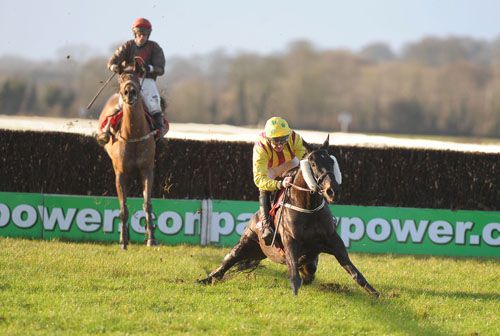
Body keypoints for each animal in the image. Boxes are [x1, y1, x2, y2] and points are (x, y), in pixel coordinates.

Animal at [99, 68, 156, 248]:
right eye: (122, 78)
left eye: (137, 79)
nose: (129, 91)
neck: (133, 134)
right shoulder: (121, 174)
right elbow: (123, 208)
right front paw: (123, 241)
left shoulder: (147, 170)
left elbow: (147, 205)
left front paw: (151, 239)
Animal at [199, 136, 378, 296]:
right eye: (313, 163)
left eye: (331, 162)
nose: (332, 191)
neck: (309, 209)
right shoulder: (290, 241)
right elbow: (294, 267)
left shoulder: (333, 241)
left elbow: (353, 270)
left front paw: (375, 293)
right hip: (247, 242)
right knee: (228, 260)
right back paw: (206, 279)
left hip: (259, 252)